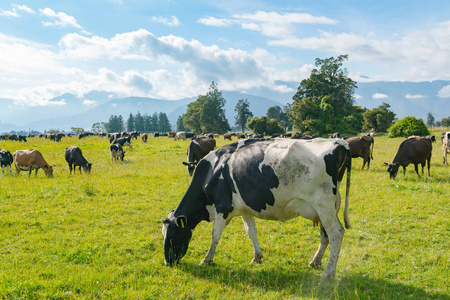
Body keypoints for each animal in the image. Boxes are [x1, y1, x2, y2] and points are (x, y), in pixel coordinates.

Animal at [162, 138, 352, 278]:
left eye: (171, 236)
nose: (167, 263)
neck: (212, 171)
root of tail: (338, 142)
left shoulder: (222, 207)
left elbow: (215, 236)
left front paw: (207, 259)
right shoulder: (244, 209)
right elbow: (251, 231)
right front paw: (257, 257)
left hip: (323, 203)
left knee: (336, 233)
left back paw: (328, 274)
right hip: (329, 206)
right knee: (325, 235)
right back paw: (315, 261)